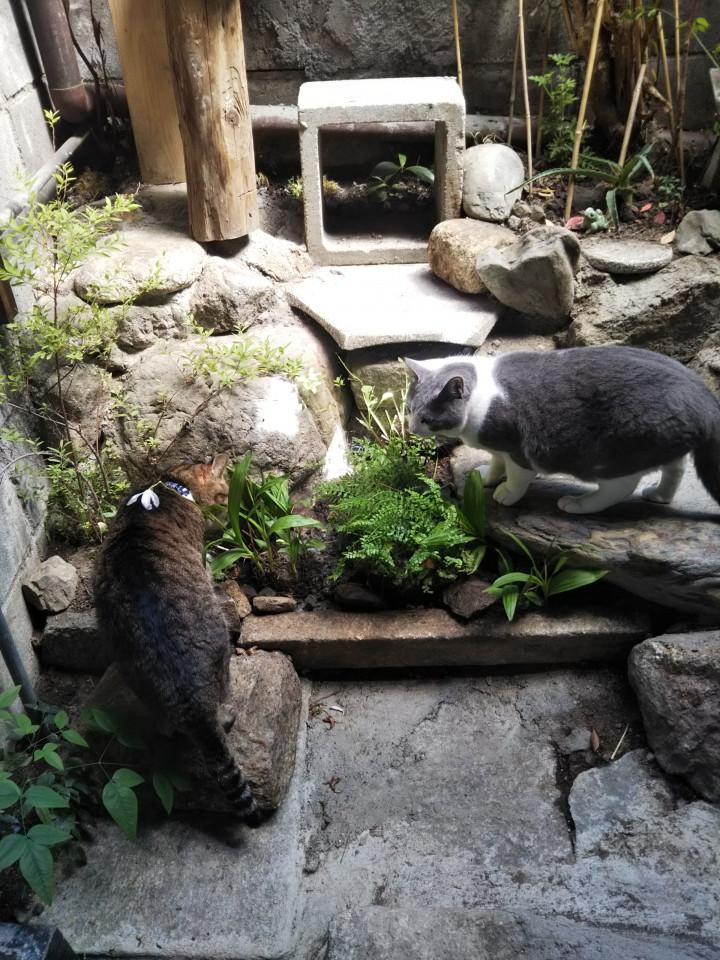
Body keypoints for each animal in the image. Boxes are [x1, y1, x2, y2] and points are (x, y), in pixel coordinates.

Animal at [94, 453, 262, 825]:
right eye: (224, 493)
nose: (228, 516)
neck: (171, 485)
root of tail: (191, 700)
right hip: (222, 656)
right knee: (220, 714)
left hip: (136, 677)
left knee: (165, 727)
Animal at [405, 346, 720, 514]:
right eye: (409, 410)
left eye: (427, 419)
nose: (410, 427)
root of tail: (702, 395)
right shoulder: (499, 449)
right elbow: (496, 463)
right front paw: (486, 477)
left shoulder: (517, 449)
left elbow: (517, 477)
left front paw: (506, 494)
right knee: (676, 467)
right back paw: (659, 495)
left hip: (617, 452)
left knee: (620, 487)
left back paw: (576, 504)